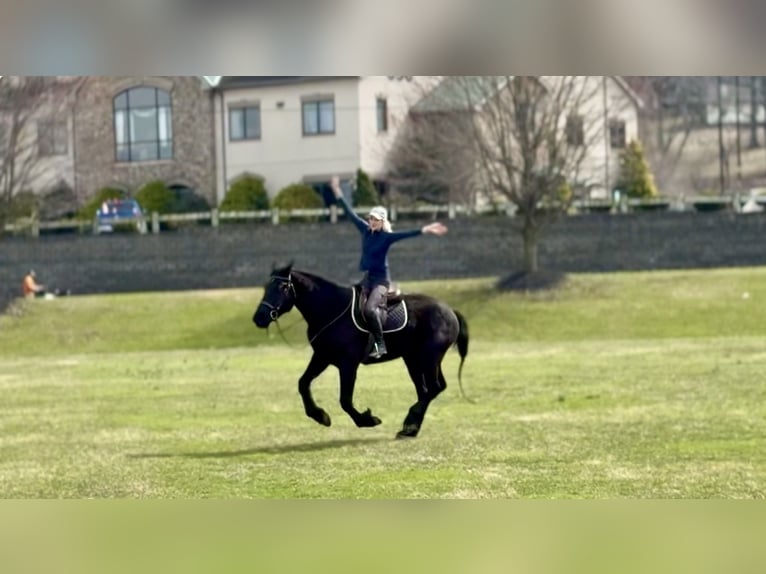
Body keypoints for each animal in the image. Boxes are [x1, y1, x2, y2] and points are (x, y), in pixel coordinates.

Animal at [252, 263, 470, 439]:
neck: (331, 309)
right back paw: (410, 429)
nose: (259, 318)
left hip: (428, 358)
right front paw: (320, 416)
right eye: (266, 287)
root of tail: (450, 310)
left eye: (282, 287)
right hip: (414, 359)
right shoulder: (322, 357)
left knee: (433, 387)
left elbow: (345, 400)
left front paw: (367, 420)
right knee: (427, 390)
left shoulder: (348, 364)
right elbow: (303, 383)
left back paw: (409, 423)